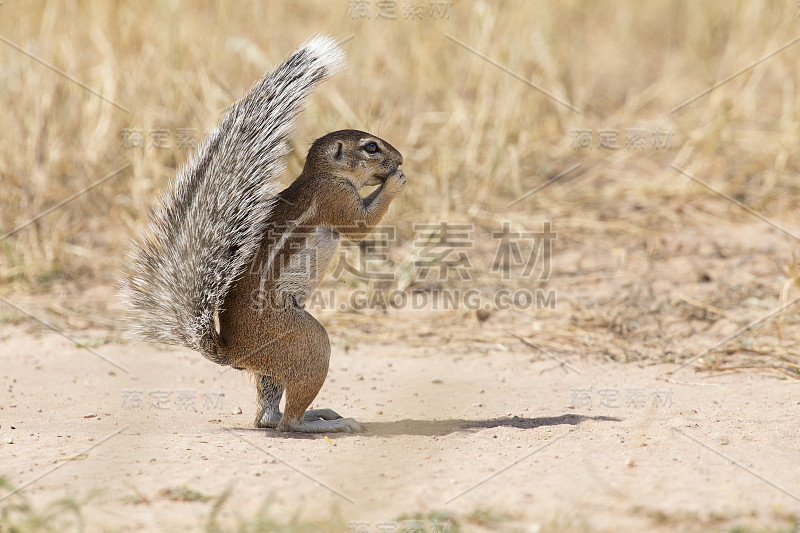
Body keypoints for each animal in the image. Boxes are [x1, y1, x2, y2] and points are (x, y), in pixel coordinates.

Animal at [120, 35, 406, 430]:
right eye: (371, 147)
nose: (401, 159)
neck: (323, 174)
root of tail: (231, 352)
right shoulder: (335, 200)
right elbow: (361, 227)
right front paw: (395, 182)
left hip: (275, 364)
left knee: (267, 417)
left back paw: (315, 413)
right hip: (308, 344)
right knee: (288, 422)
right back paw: (326, 422)